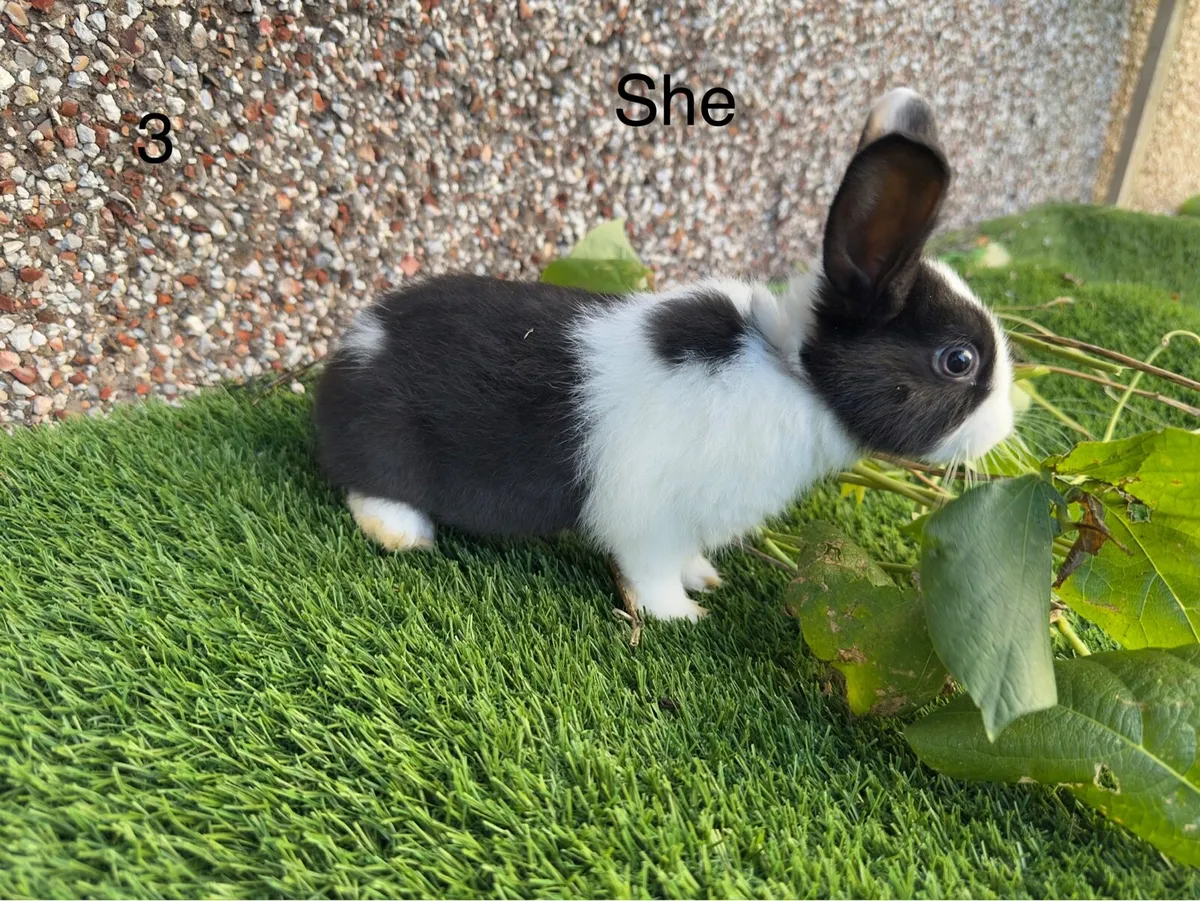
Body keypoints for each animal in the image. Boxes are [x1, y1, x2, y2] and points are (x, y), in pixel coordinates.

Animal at [313, 87, 1015, 622]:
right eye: (959, 361)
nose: (1008, 428)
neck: (790, 374)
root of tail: (353, 347)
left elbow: (685, 559)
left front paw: (705, 579)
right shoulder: (649, 519)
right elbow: (650, 573)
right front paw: (682, 615)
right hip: (387, 446)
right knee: (368, 487)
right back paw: (404, 534)